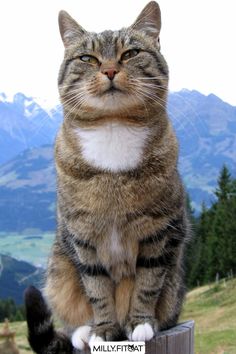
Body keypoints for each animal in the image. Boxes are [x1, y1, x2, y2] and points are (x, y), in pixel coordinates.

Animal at [24, 1, 190, 352]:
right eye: (88, 58)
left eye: (131, 53)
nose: (110, 70)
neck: (113, 128)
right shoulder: (82, 235)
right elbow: (97, 287)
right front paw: (103, 329)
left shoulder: (159, 230)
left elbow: (147, 282)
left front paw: (139, 323)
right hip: (58, 270)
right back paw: (83, 331)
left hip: (173, 289)